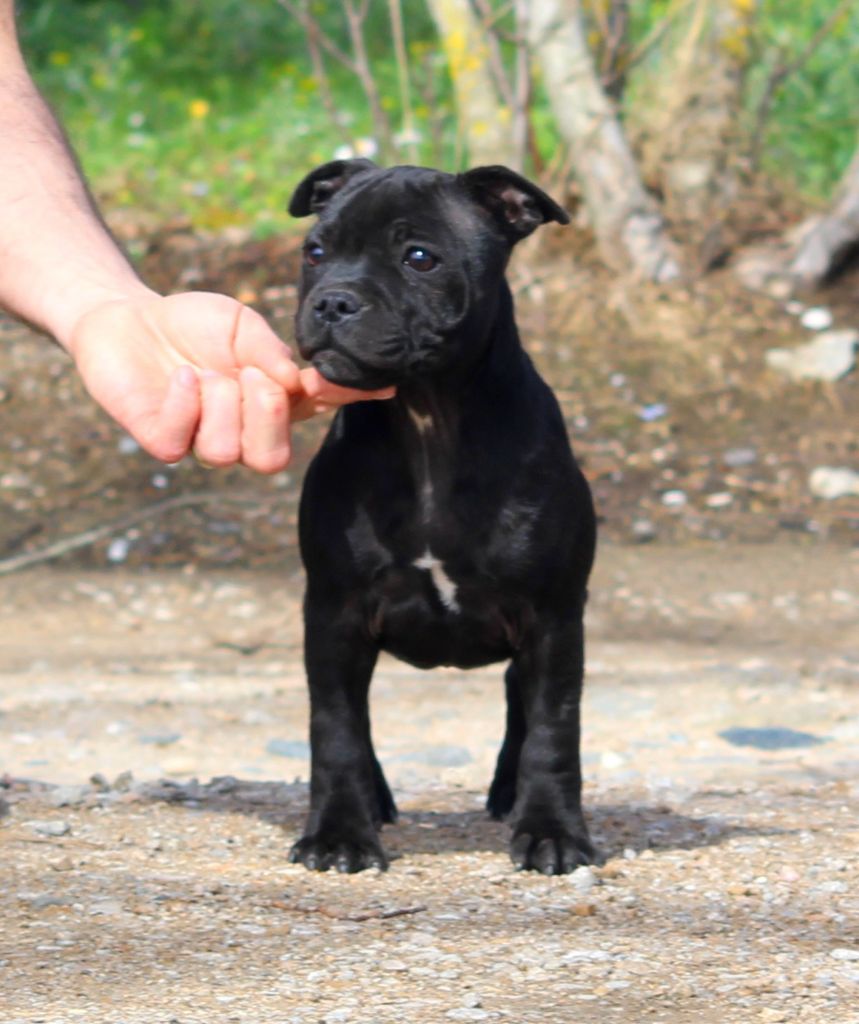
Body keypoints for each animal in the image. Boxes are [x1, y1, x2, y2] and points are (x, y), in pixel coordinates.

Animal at [288, 163, 597, 876]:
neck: (425, 415)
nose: (332, 302)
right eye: (314, 252)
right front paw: (339, 834)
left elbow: (553, 727)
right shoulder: (335, 613)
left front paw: (552, 831)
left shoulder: (552, 618)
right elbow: (336, 726)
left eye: (419, 257)